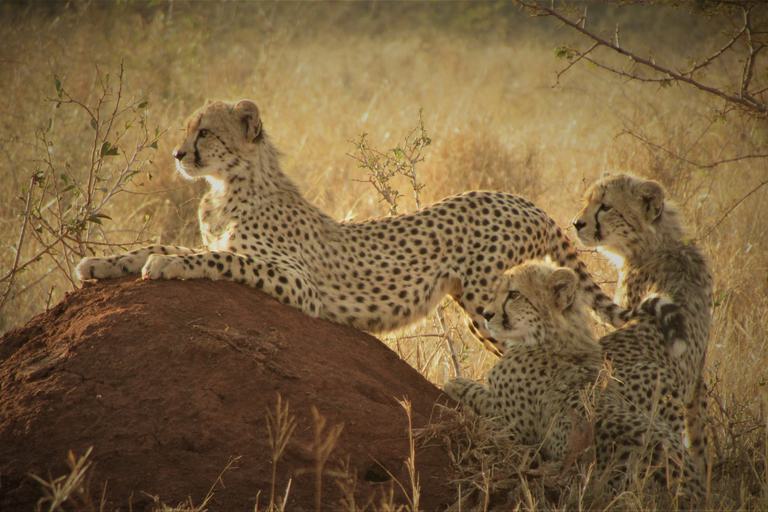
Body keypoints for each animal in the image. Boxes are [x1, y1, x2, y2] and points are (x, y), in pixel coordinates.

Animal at [75, 98, 629, 344]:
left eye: (205, 132)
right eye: (188, 130)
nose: (177, 154)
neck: (227, 186)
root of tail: (523, 201)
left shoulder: (298, 284)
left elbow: (210, 258)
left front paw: (163, 267)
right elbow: (168, 245)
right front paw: (100, 263)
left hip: (489, 304)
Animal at [444, 260, 704, 501]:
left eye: (514, 294)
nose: (487, 314)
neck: (551, 336)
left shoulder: (513, 427)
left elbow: (476, 393)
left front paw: (454, 382)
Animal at [572, 173, 713, 487]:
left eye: (605, 206)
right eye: (588, 201)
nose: (577, 223)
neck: (659, 242)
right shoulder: (698, 372)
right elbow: (699, 433)